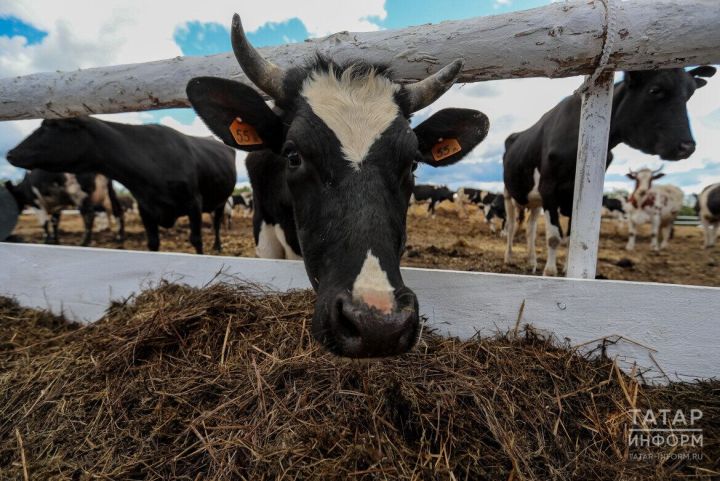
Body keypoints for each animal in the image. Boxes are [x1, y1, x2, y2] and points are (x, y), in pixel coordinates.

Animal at [7, 116, 236, 253]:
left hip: (220, 201)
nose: (10, 153)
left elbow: (196, 239)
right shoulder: (145, 208)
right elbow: (153, 242)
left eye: (49, 127)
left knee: (217, 223)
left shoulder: (193, 203)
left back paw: (218, 246)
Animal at [500, 67, 716, 274]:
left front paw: (567, 268)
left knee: (530, 228)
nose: (687, 146)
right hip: (509, 194)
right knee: (511, 226)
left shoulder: (571, 198)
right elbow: (554, 237)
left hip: (535, 200)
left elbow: (571, 239)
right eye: (655, 90)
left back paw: (531, 262)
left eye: (690, 94)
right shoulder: (549, 190)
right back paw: (509, 257)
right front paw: (550, 271)